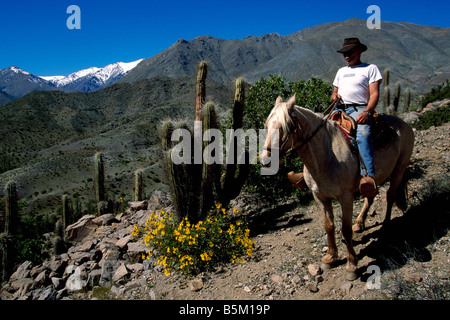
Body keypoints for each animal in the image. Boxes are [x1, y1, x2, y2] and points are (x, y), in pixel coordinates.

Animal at [260, 93, 414, 280]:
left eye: (285, 127)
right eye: (267, 125)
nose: (265, 160)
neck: (325, 157)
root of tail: (402, 123)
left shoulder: (346, 197)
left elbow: (345, 229)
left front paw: (351, 265)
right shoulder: (320, 196)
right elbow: (329, 226)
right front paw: (330, 258)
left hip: (399, 168)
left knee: (390, 196)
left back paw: (385, 226)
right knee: (370, 195)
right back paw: (360, 223)